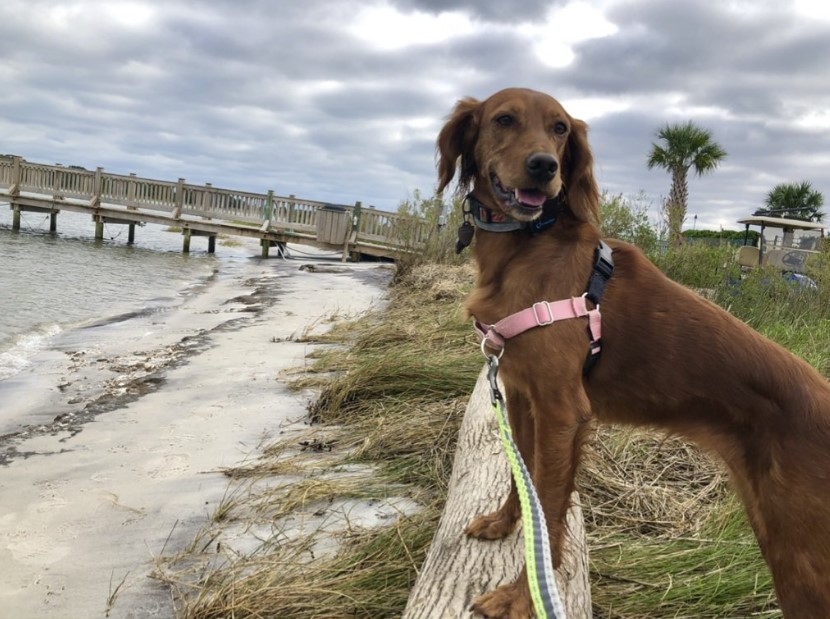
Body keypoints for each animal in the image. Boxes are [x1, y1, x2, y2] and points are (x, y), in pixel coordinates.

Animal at [438, 87, 828, 619]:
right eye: (504, 119)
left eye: (560, 129)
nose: (543, 166)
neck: (529, 245)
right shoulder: (520, 395)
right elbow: (525, 481)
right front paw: (504, 524)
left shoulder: (563, 411)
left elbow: (550, 506)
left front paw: (523, 595)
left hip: (801, 555)